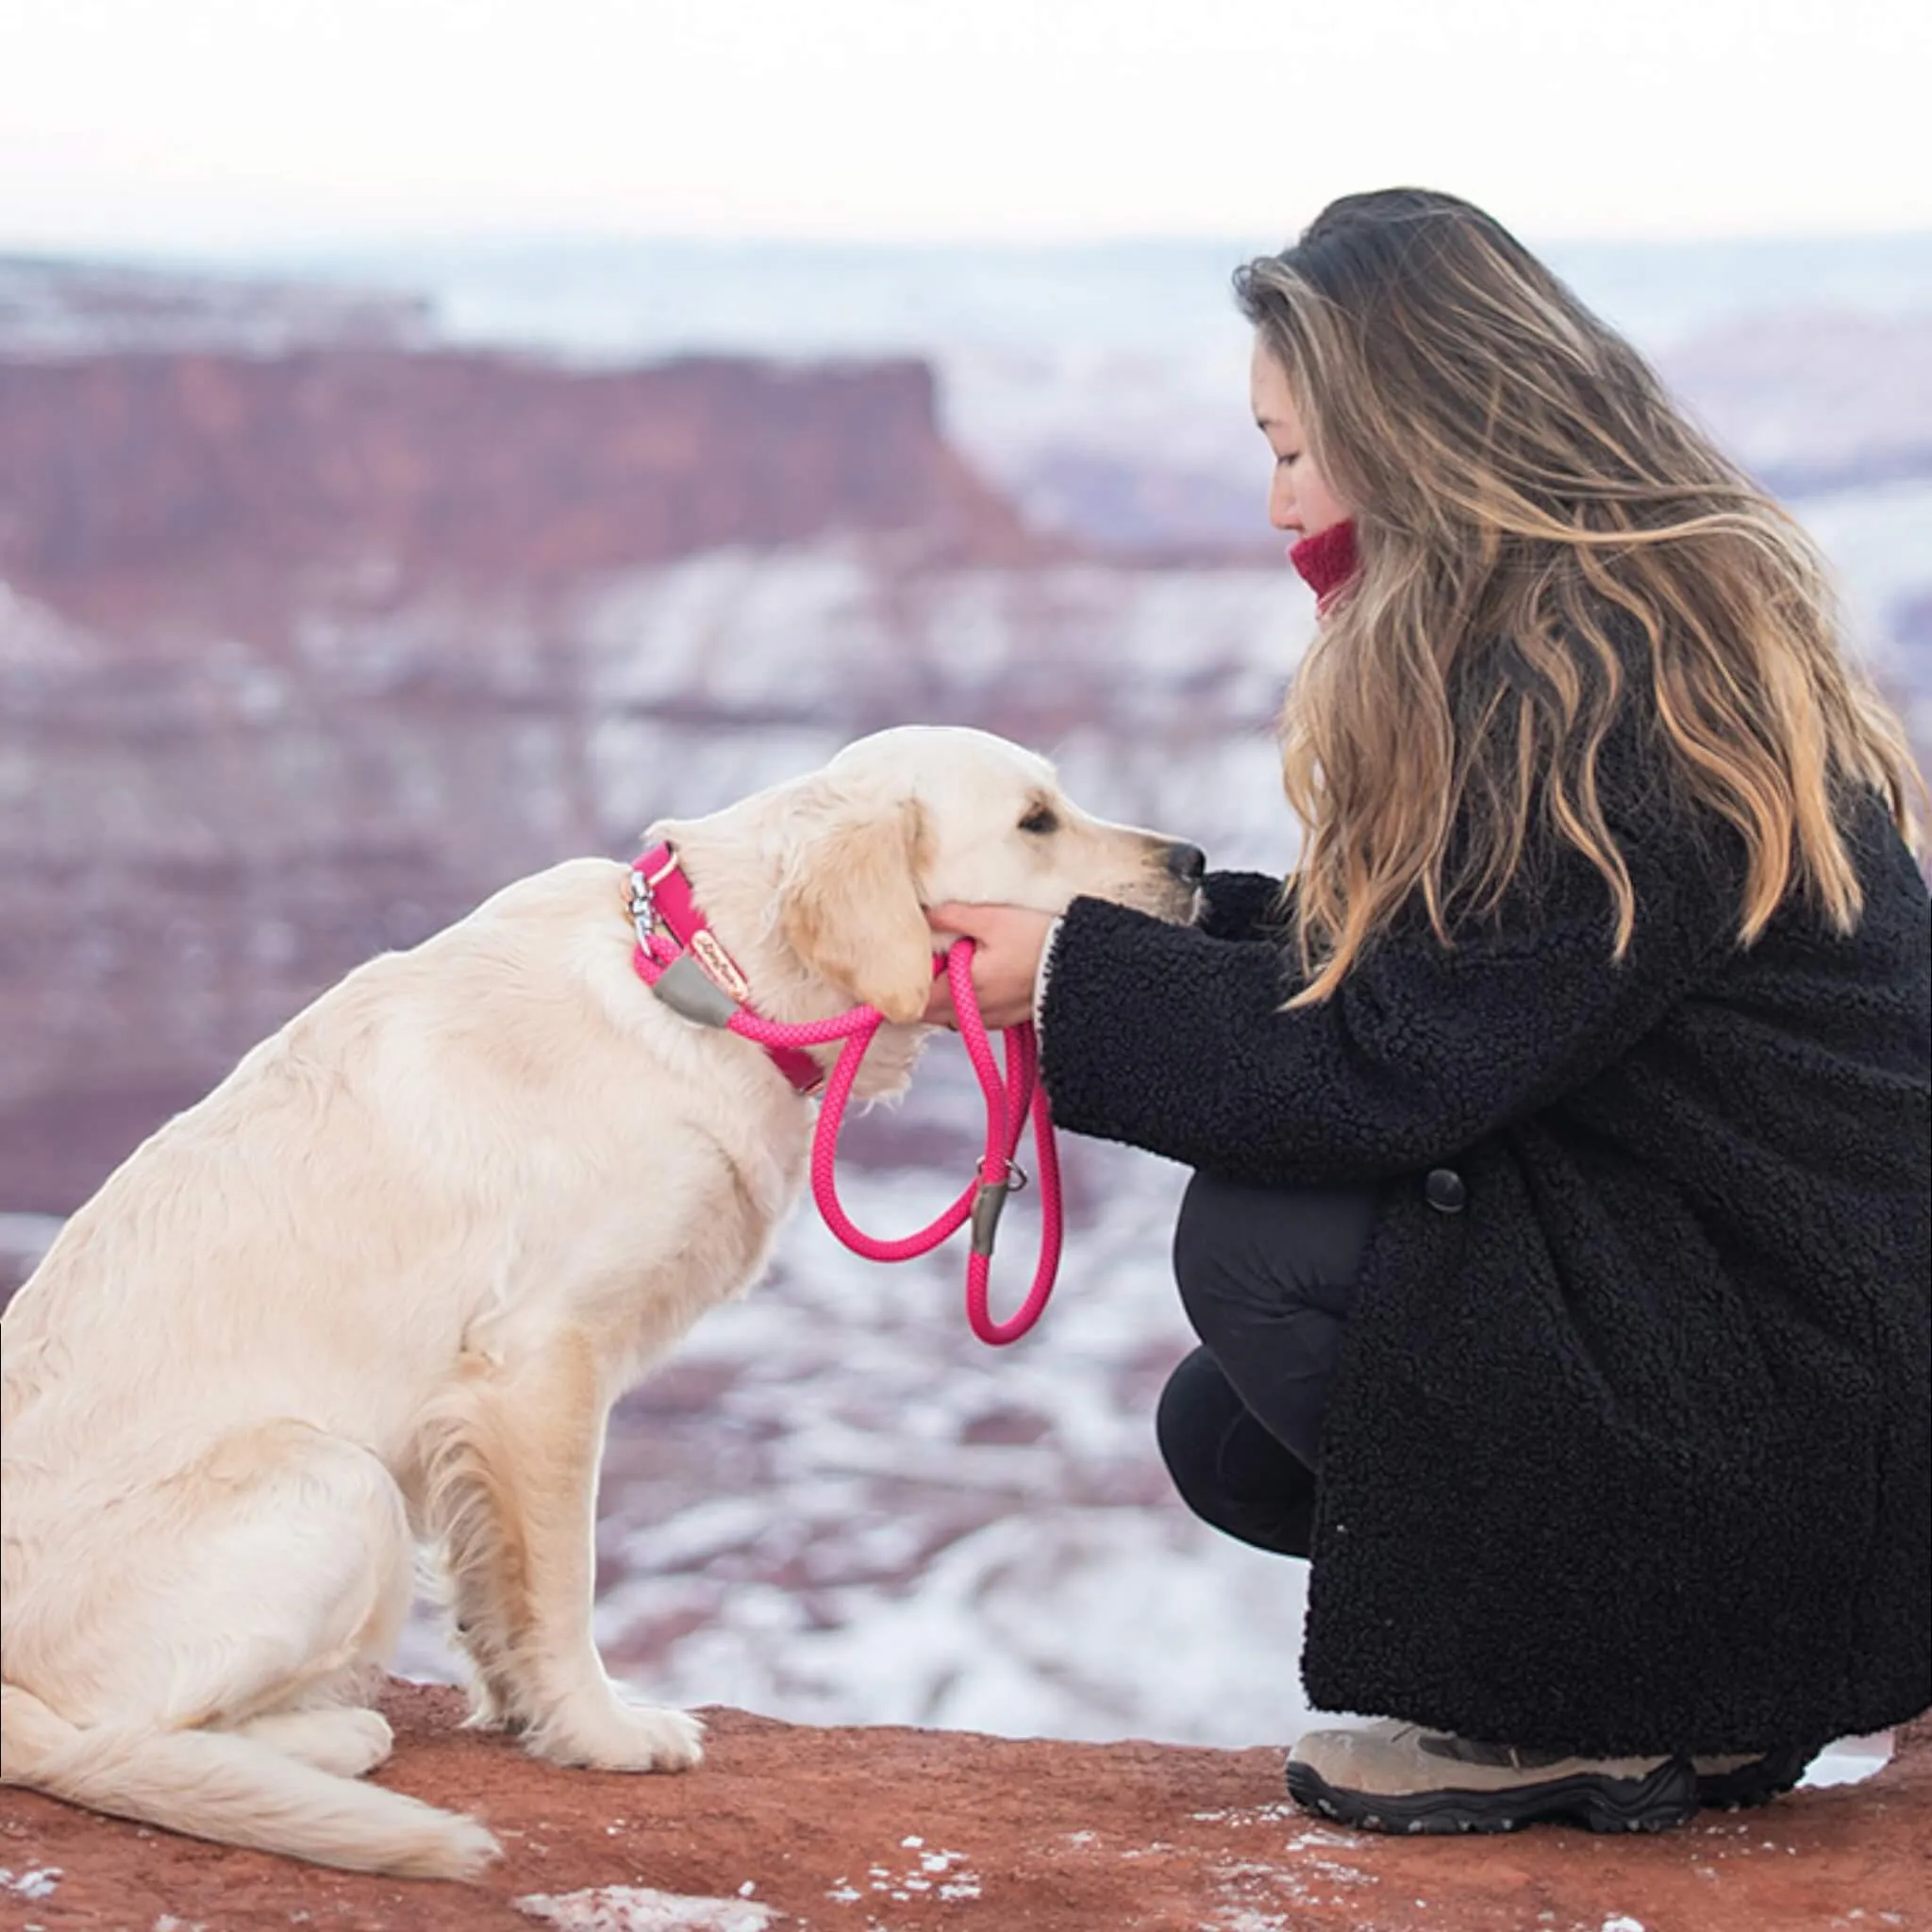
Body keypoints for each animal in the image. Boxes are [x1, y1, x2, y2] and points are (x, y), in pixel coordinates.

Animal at [0, 726, 1197, 1870]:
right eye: (1035, 820)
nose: (1192, 862)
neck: (713, 980)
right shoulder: (543, 1362)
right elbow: (562, 1580)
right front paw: (603, 1730)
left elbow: (498, 1589)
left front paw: (523, 1710)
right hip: (332, 1479)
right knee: (126, 1731)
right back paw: (336, 1734)